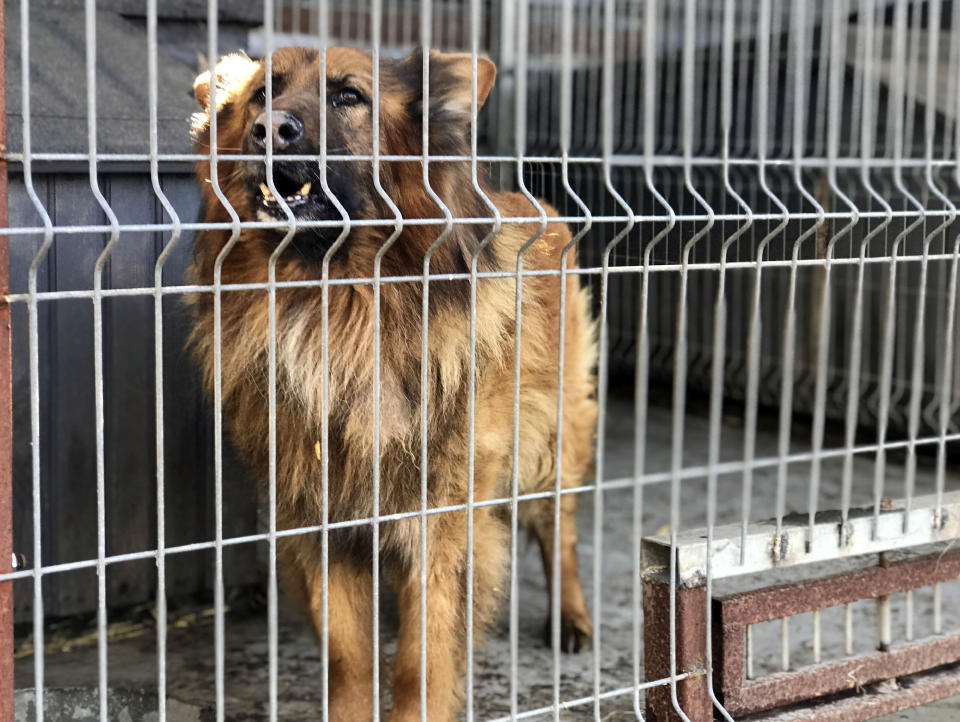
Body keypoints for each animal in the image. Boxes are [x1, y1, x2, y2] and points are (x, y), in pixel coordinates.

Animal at [187, 47, 596, 716]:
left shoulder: (443, 525)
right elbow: (349, 657)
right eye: (262, 94)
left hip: (550, 443)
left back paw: (572, 619)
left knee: (558, 531)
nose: (268, 129)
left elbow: (420, 662)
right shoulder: (319, 522)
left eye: (348, 96)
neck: (336, 305)